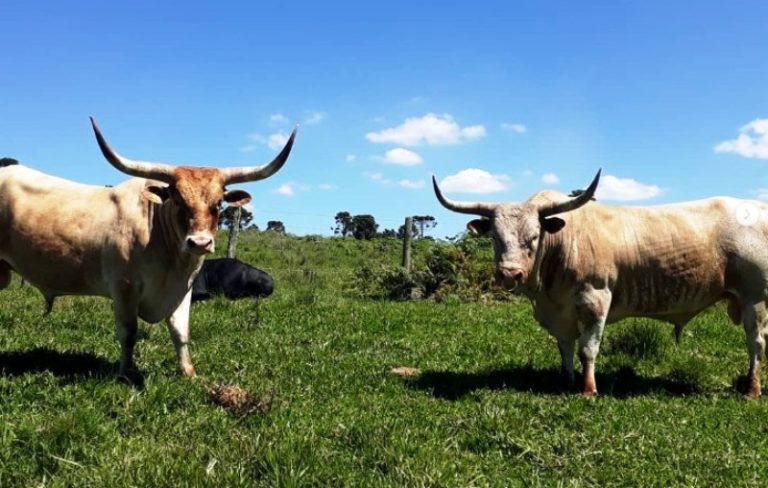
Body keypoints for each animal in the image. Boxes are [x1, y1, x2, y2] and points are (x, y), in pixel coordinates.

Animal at [0, 118, 296, 382]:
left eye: (218, 204)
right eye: (177, 199)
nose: (200, 243)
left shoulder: (183, 289)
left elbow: (180, 332)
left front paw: (188, 373)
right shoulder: (124, 287)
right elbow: (128, 333)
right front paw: (125, 374)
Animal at [436, 170, 768, 398]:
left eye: (533, 237)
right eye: (495, 237)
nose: (509, 273)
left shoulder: (595, 300)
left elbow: (588, 348)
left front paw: (588, 389)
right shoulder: (560, 311)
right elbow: (565, 347)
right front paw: (566, 381)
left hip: (755, 299)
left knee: (756, 342)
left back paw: (751, 389)